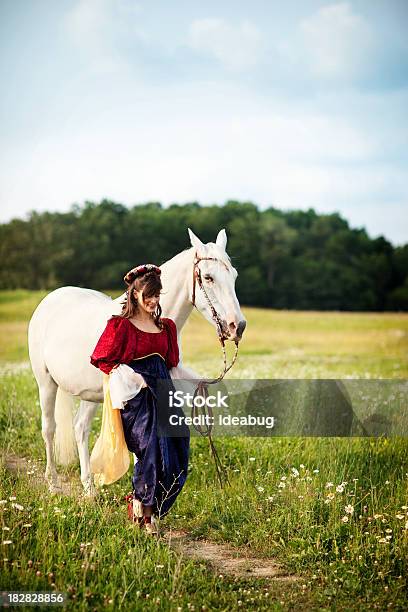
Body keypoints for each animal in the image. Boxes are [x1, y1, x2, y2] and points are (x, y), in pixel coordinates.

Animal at [28, 230, 247, 498]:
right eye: (208, 277)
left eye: (234, 276)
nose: (237, 326)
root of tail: (51, 298)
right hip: (46, 382)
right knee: (49, 428)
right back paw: (54, 484)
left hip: (91, 394)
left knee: (80, 428)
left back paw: (89, 487)